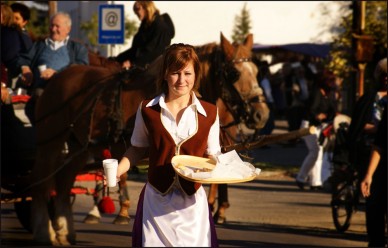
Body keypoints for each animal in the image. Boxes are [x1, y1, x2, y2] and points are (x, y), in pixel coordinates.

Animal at [30, 32, 268, 244]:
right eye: (233, 72)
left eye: (257, 71)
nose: (262, 114)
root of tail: (58, 77)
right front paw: (120, 211)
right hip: (49, 143)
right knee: (42, 182)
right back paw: (44, 231)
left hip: (79, 146)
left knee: (63, 183)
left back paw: (65, 231)